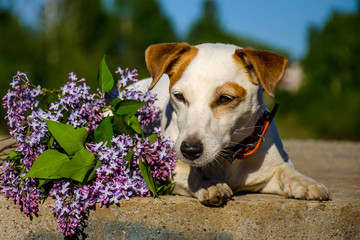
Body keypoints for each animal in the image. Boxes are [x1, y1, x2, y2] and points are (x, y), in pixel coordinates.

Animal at [136, 42, 332, 205]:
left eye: (225, 98)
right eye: (179, 96)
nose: (189, 150)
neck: (228, 156)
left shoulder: (272, 169)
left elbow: (287, 172)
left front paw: (306, 183)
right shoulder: (165, 164)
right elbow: (189, 171)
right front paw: (209, 183)